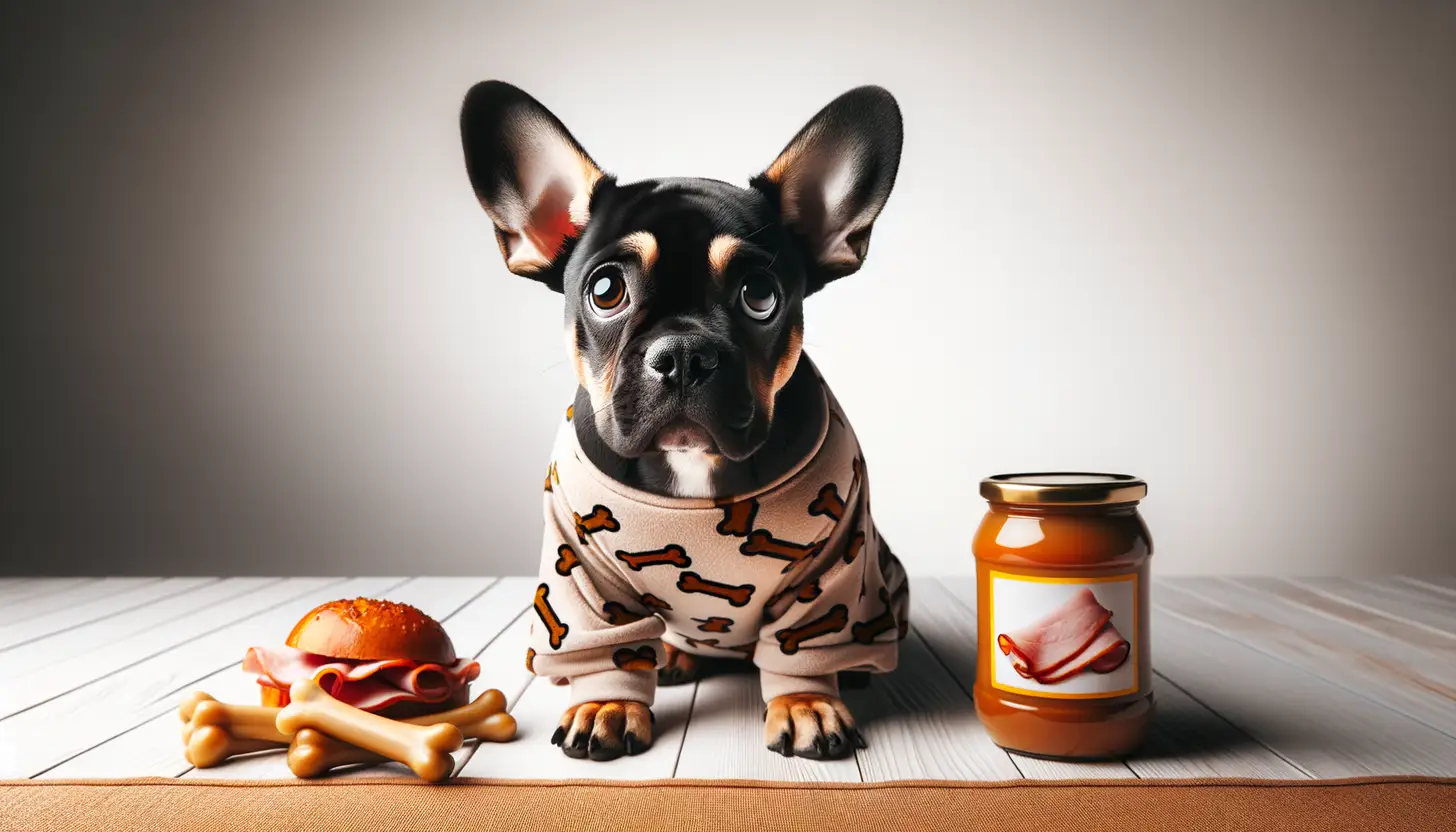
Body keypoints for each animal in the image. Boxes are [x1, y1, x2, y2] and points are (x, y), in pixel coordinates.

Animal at [460, 83, 902, 763]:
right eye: (606, 290)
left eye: (760, 295)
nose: (685, 353)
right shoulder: (576, 565)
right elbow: (602, 645)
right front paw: (607, 703)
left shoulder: (833, 562)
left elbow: (801, 642)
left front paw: (807, 701)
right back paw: (669, 653)